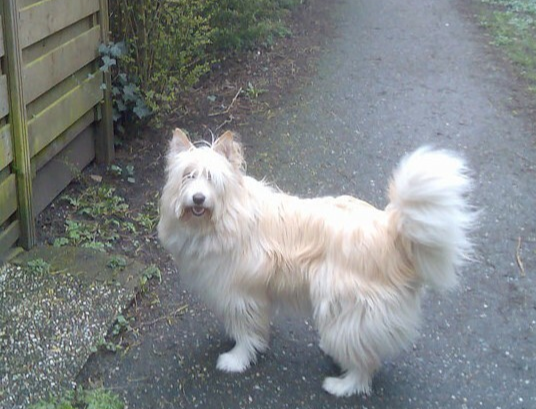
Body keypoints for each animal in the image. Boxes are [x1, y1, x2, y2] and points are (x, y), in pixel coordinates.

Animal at [158, 128, 475, 397]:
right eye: (188, 176)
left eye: (212, 178)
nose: (198, 199)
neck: (225, 218)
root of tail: (392, 233)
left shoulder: (242, 295)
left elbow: (247, 332)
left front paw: (236, 359)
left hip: (349, 306)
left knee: (365, 364)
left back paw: (342, 385)